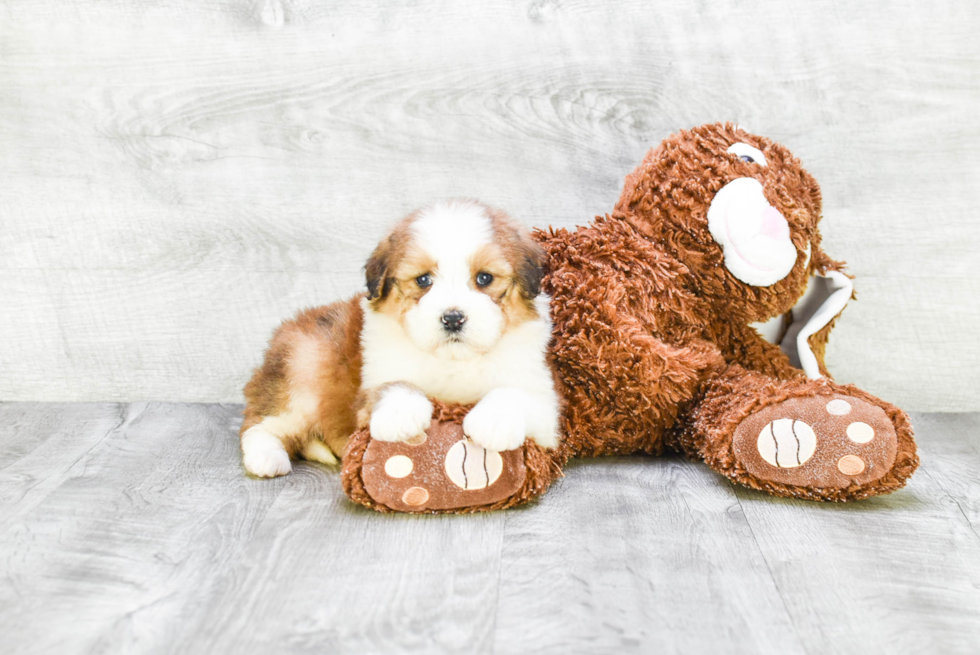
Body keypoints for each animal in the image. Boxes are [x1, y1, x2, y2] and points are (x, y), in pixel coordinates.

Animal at [238, 199, 560, 476]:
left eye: (484, 278)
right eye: (423, 280)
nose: (453, 319)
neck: (453, 362)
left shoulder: (548, 411)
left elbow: (517, 394)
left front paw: (493, 423)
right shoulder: (371, 384)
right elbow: (394, 384)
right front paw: (399, 414)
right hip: (301, 374)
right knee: (258, 425)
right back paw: (267, 458)